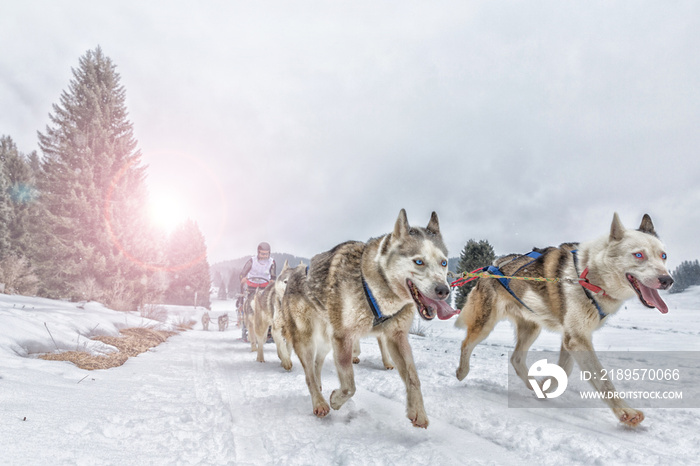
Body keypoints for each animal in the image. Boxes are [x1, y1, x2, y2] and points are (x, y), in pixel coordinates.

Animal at [282, 209, 456, 428]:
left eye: (444, 262)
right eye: (419, 261)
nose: (444, 290)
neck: (375, 288)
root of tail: (293, 275)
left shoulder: (396, 337)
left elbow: (413, 377)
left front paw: (418, 411)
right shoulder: (343, 337)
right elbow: (349, 386)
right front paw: (336, 400)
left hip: (326, 342)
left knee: (315, 367)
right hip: (307, 340)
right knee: (308, 376)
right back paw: (320, 403)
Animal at [454, 214, 672, 426]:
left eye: (663, 256)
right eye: (639, 255)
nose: (667, 280)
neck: (589, 275)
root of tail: (492, 266)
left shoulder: (572, 336)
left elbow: (564, 369)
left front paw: (546, 387)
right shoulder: (577, 338)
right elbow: (602, 379)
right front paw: (625, 412)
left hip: (532, 328)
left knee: (516, 359)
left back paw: (533, 384)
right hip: (486, 323)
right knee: (466, 344)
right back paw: (462, 371)